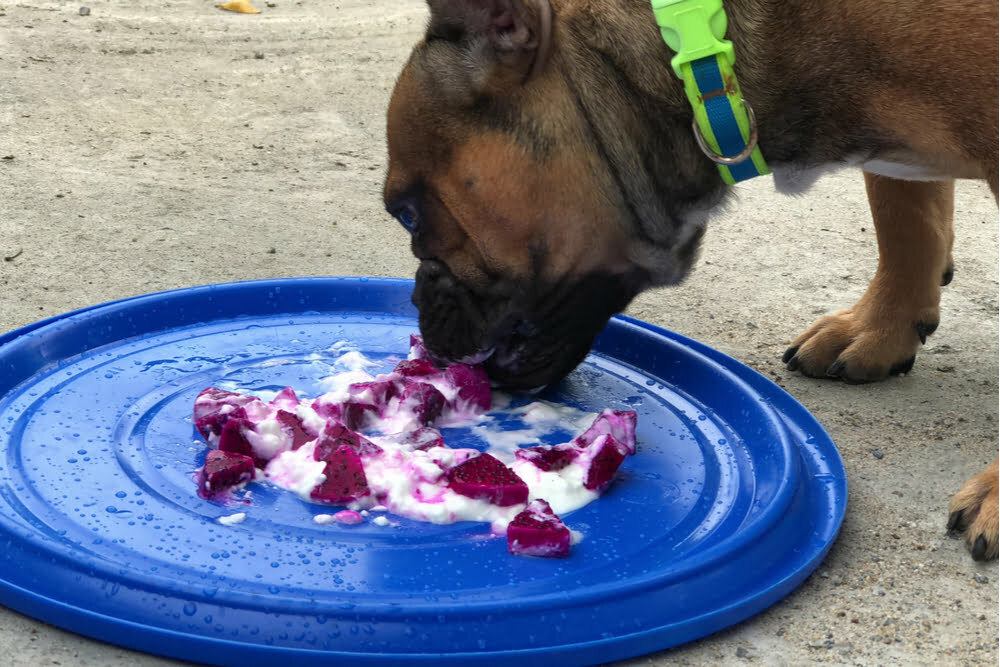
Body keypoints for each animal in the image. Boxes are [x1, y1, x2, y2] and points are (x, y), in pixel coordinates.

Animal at [380, 0, 992, 560]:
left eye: (407, 214)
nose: (414, 298)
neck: (702, 57)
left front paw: (995, 490)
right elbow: (902, 213)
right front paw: (883, 328)